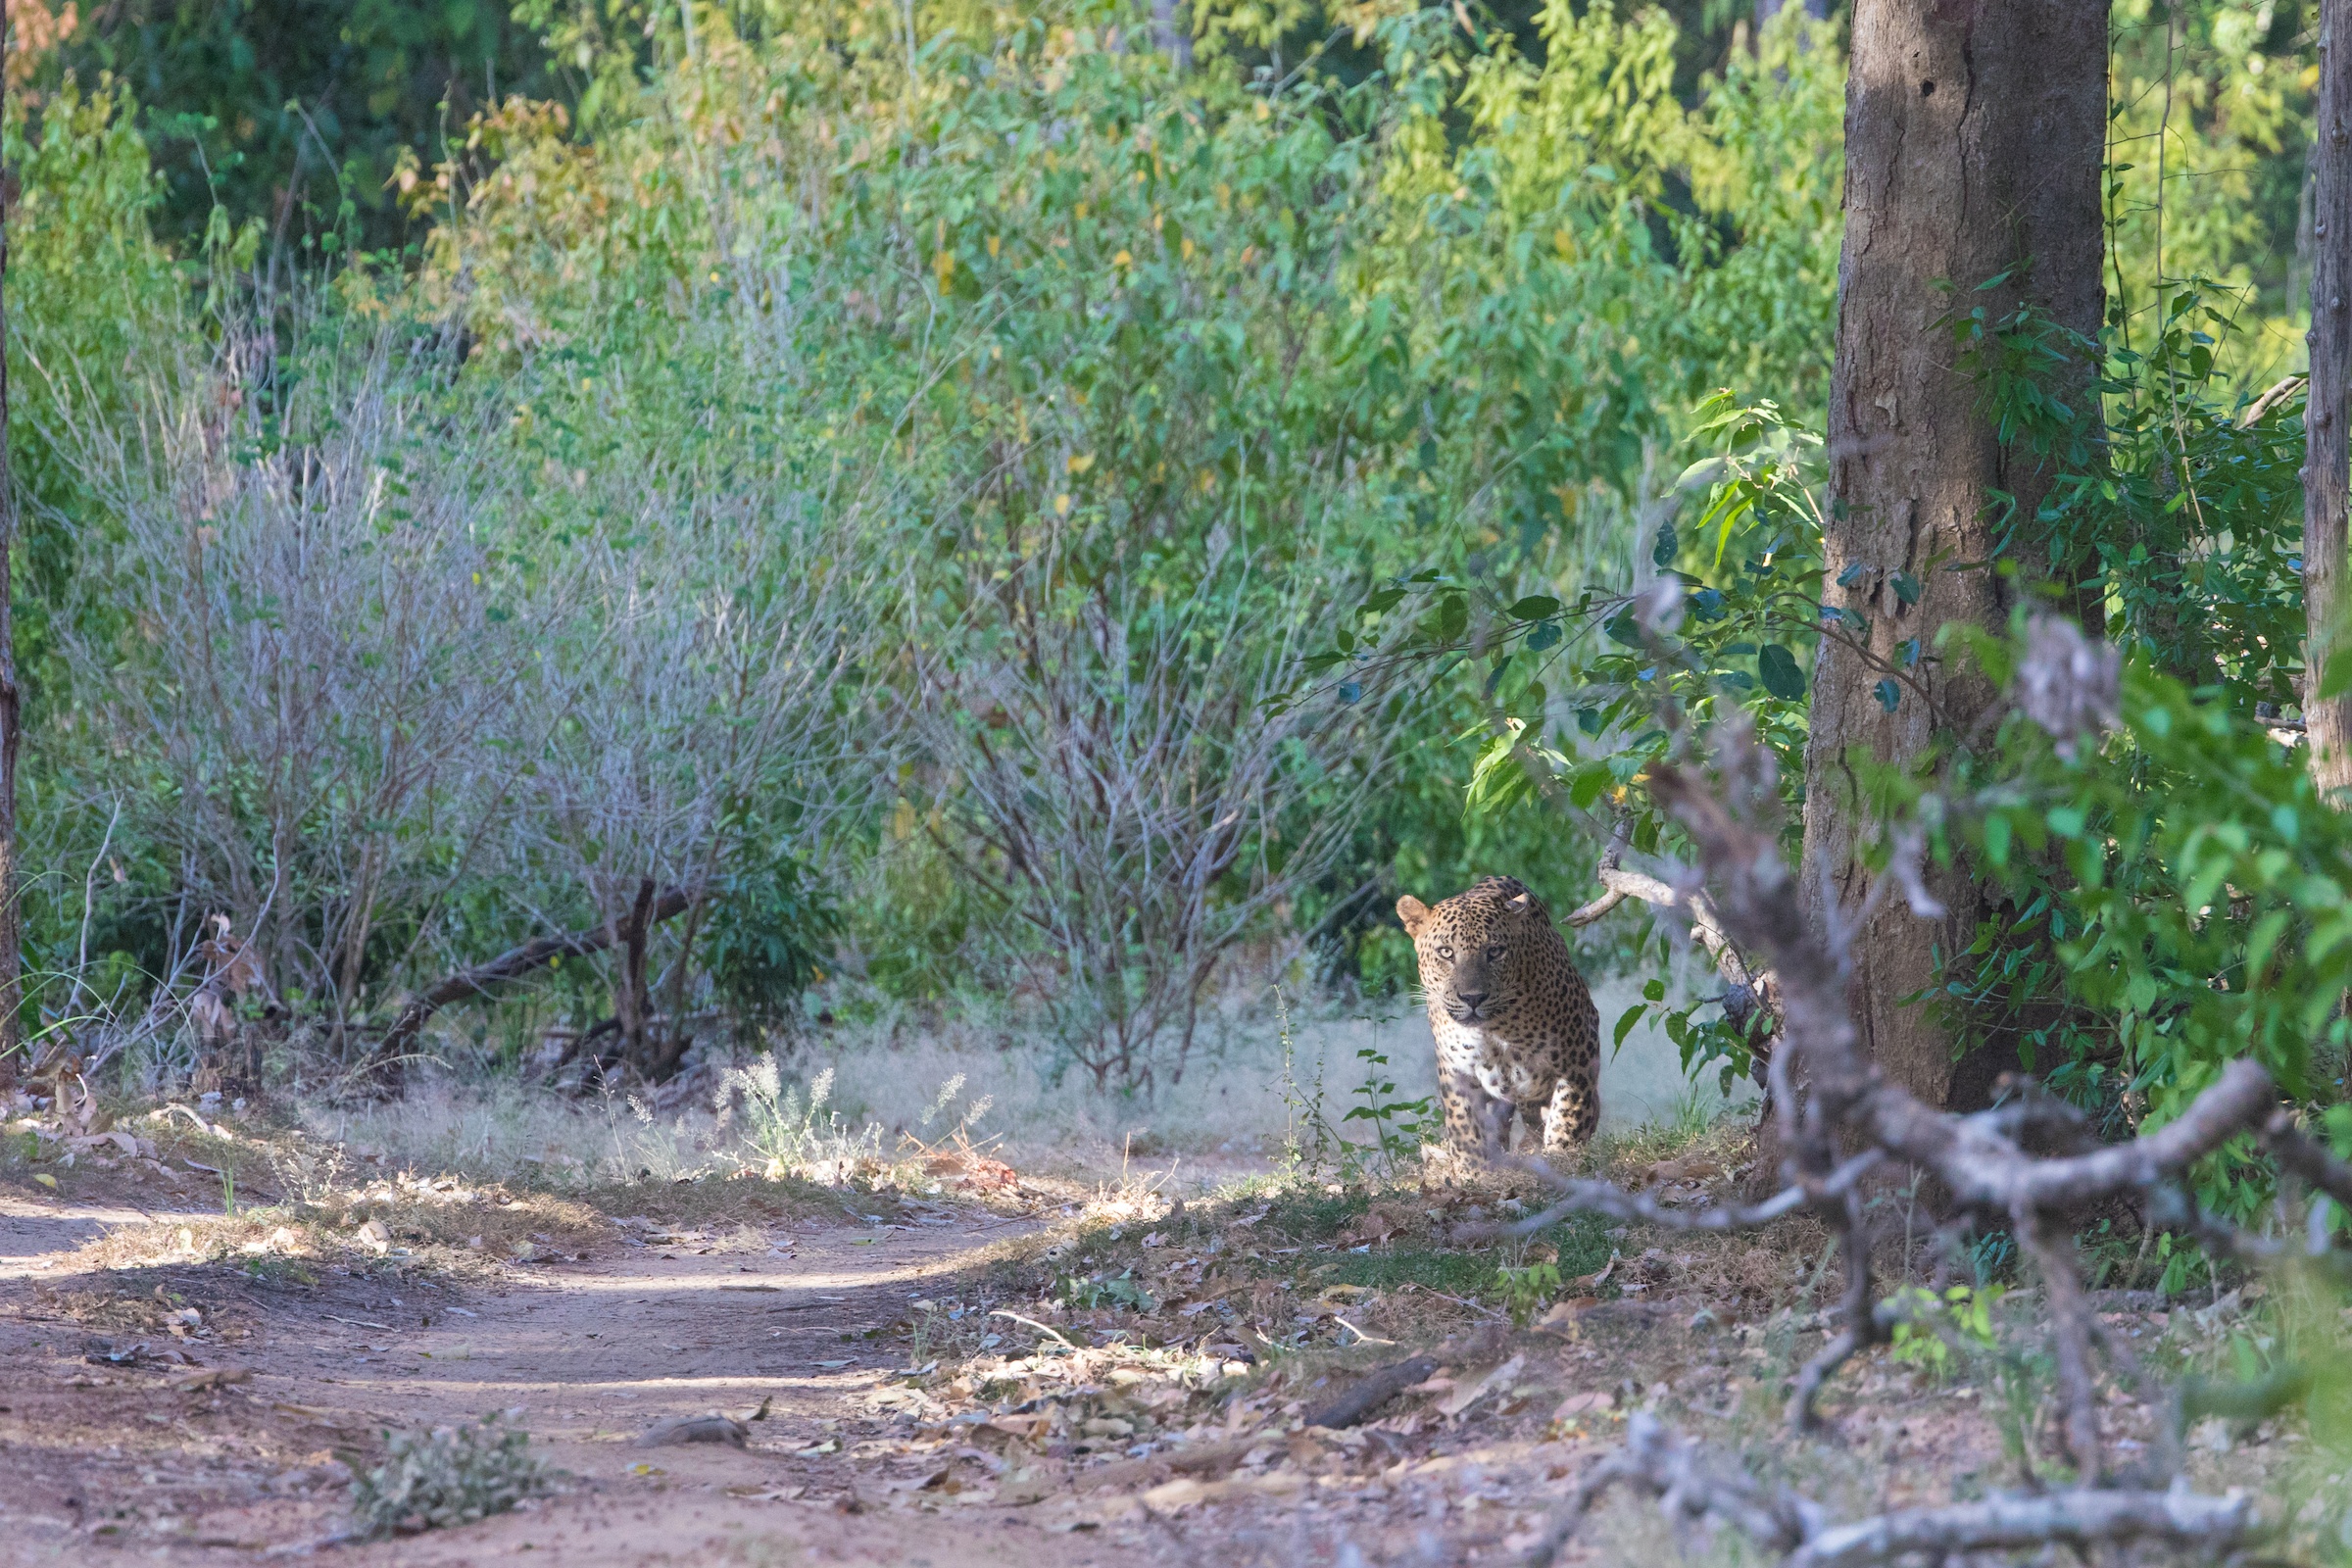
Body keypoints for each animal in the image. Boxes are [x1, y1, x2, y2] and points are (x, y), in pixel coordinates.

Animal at [1396, 875, 1601, 1172]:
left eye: (1494, 952)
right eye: (1446, 952)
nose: (1473, 998)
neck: (1495, 1028)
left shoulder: (1579, 1053)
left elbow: (1569, 1112)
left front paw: (1562, 1156)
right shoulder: (1454, 1069)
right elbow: (1463, 1123)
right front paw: (1474, 1170)